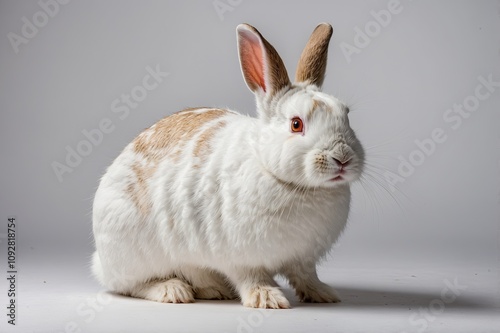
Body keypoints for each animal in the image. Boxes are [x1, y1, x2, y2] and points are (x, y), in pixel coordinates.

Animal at [92, 22, 364, 308]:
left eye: (346, 115)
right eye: (296, 124)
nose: (343, 157)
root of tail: (100, 260)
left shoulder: (303, 258)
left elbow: (306, 276)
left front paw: (323, 294)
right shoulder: (239, 257)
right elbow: (251, 277)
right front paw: (266, 298)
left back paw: (214, 289)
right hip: (134, 254)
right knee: (131, 285)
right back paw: (172, 291)